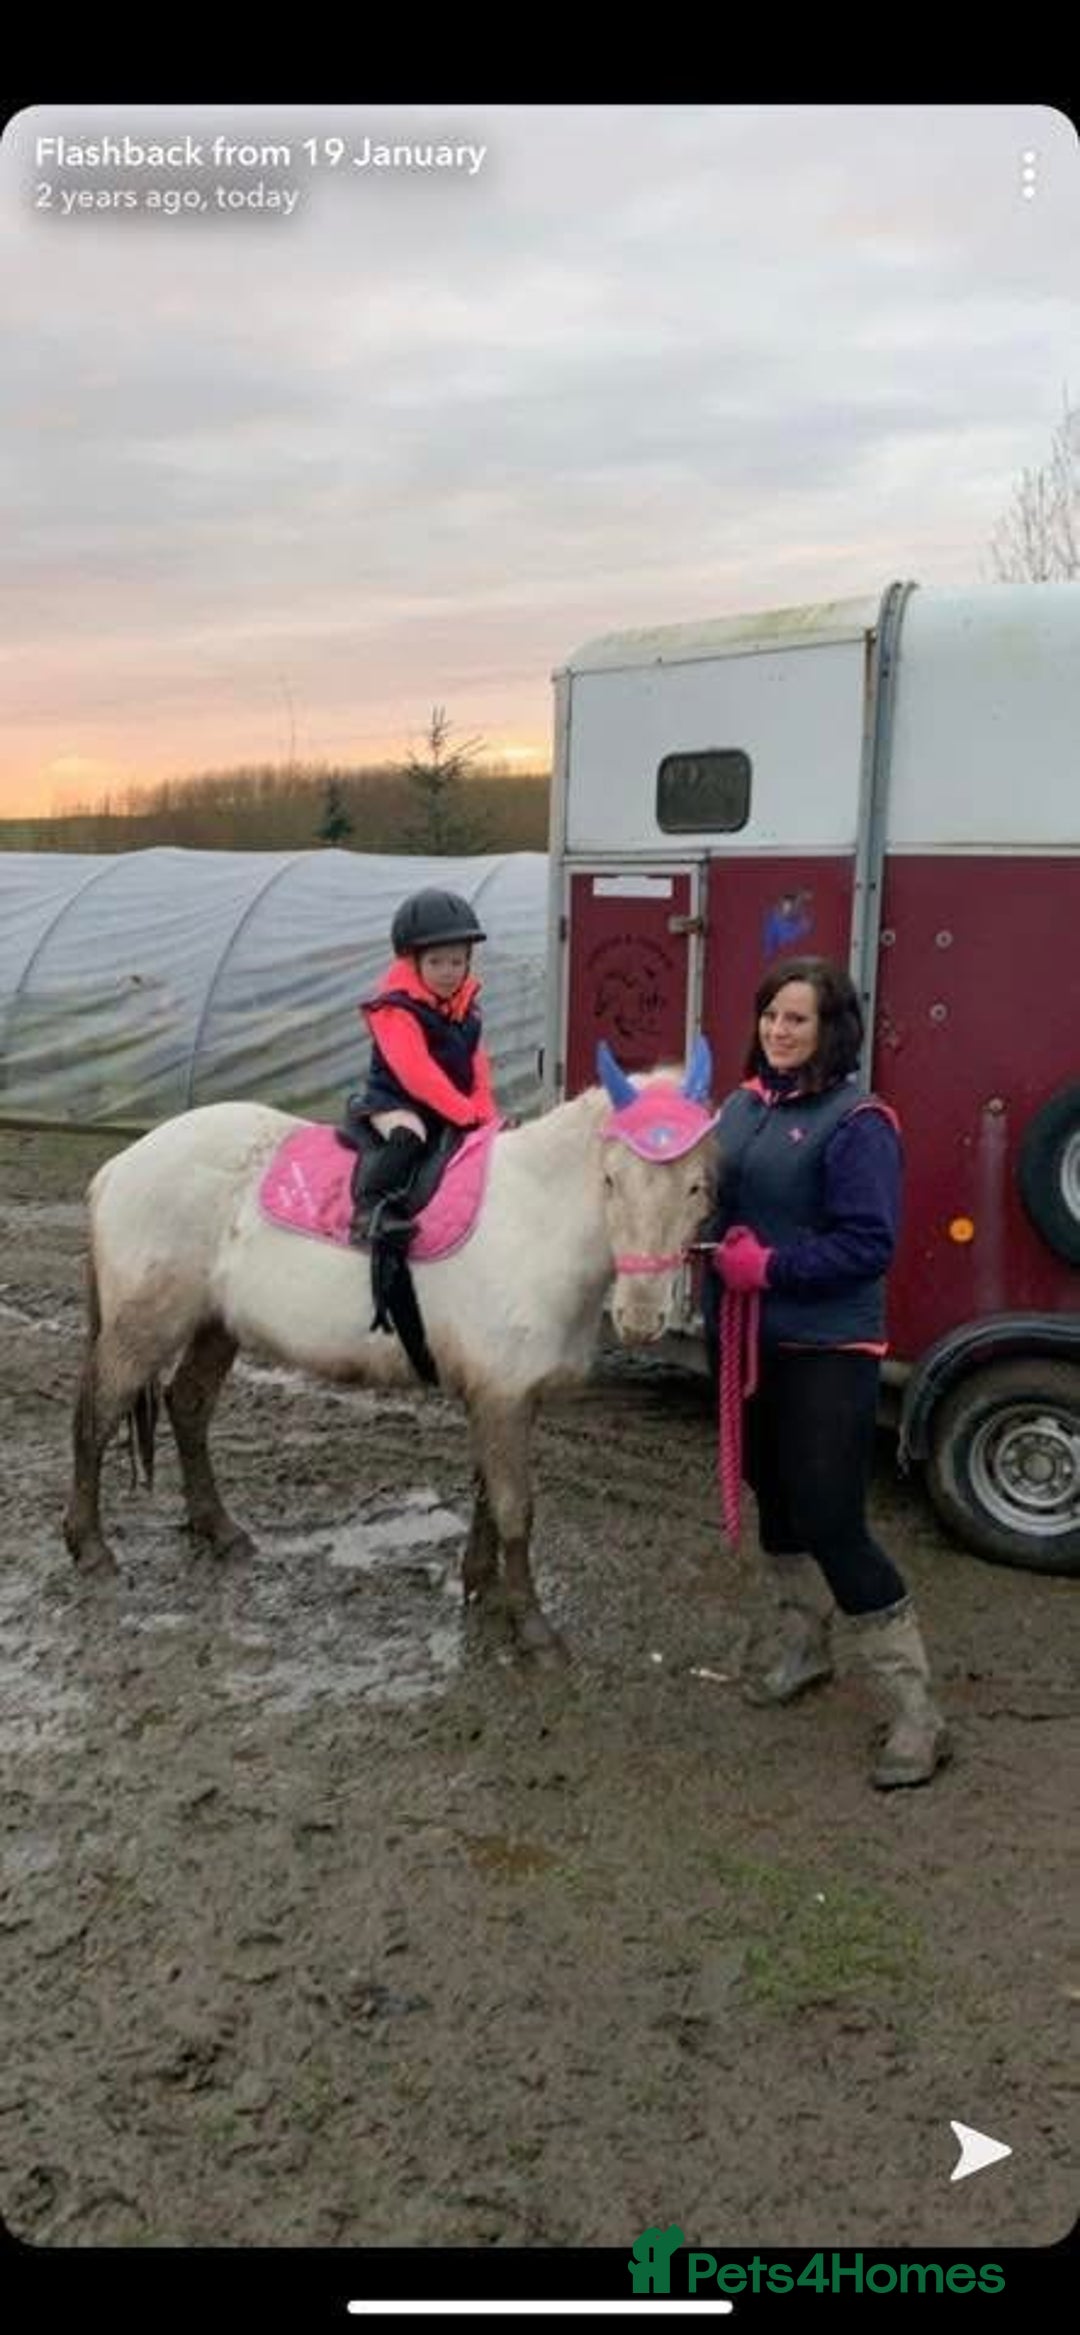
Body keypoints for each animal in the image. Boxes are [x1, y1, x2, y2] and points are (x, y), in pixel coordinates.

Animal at [62, 1040, 720, 1659]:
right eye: (610, 1180)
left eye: (695, 1187)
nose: (640, 1317)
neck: (534, 1224)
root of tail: (119, 1167)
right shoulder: (502, 1397)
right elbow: (515, 1508)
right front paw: (533, 1631)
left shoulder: (501, 1397)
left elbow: (487, 1492)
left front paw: (481, 1590)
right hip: (144, 1328)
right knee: (97, 1417)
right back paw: (90, 1547)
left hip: (214, 1326)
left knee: (189, 1407)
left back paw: (219, 1530)